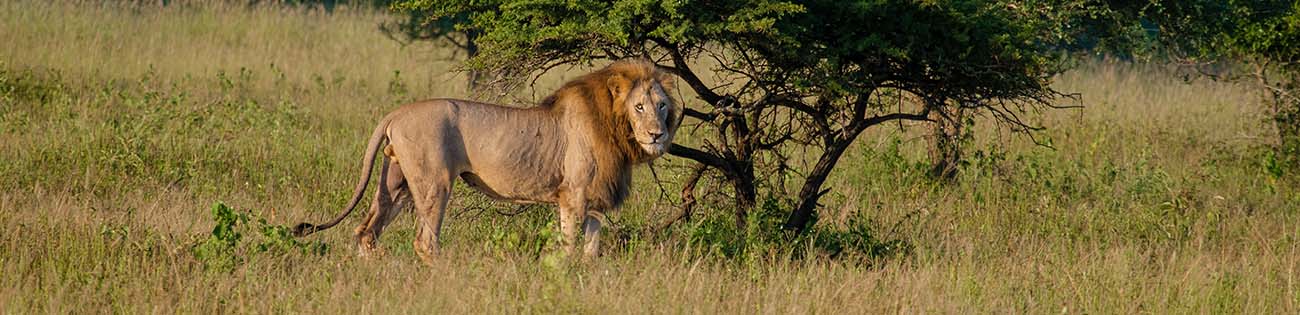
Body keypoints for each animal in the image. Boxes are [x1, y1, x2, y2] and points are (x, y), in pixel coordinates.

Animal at [292, 59, 681, 260]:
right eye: (639, 107)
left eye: (662, 106)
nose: (657, 135)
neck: (616, 129)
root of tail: (396, 112)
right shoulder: (573, 195)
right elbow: (569, 245)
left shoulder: (597, 199)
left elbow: (591, 248)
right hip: (434, 183)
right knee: (425, 241)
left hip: (396, 182)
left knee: (366, 231)